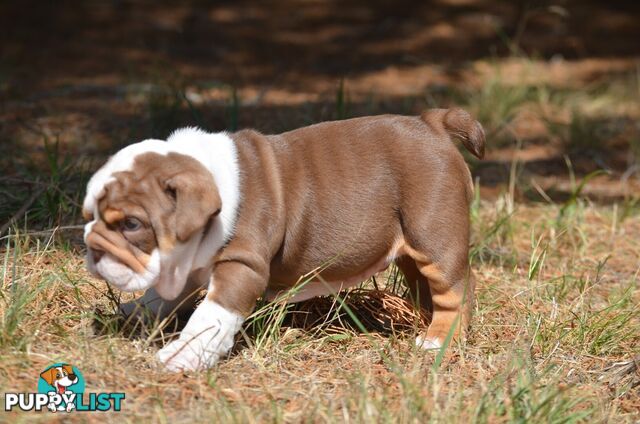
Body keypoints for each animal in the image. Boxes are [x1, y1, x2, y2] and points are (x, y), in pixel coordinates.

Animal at [84, 109, 484, 372]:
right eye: (90, 214)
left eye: (132, 224)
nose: (92, 249)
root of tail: (432, 124)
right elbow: (167, 294)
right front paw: (137, 310)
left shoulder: (241, 266)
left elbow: (210, 315)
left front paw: (183, 355)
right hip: (410, 248)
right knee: (424, 286)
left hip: (434, 234)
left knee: (455, 290)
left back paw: (438, 339)